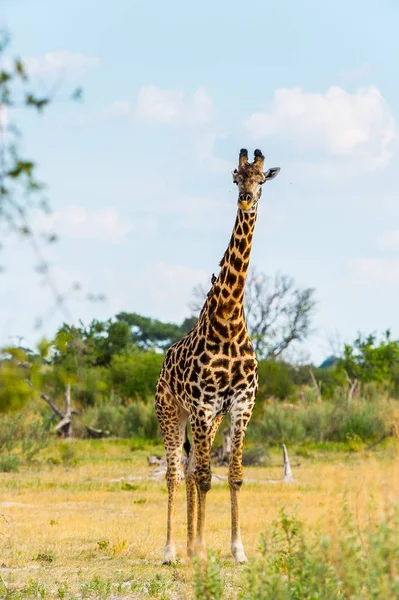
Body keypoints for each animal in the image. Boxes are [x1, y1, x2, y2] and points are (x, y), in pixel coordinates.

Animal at [155, 149, 280, 564]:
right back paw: (172, 549)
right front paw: (201, 550)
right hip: (171, 413)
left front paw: (236, 549)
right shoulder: (201, 404)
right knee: (176, 472)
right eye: (236, 178)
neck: (228, 317)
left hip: (206, 421)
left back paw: (189, 543)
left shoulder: (241, 404)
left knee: (192, 468)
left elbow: (235, 476)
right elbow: (208, 477)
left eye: (261, 180)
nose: (246, 198)